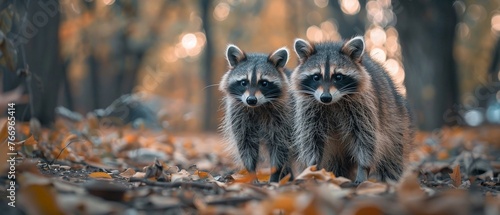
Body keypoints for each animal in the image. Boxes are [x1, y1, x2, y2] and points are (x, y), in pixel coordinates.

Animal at [219, 44, 292, 182]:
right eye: (243, 82)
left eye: (264, 83)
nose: (251, 100)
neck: (257, 107)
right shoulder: (239, 116)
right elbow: (246, 146)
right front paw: (252, 174)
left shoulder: (283, 117)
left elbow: (280, 146)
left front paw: (275, 176)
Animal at [290, 37, 414, 183]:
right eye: (316, 77)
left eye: (338, 77)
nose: (325, 97)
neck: (333, 103)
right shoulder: (310, 109)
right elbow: (312, 139)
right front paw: (312, 168)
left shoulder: (364, 105)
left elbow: (366, 137)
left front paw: (363, 169)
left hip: (395, 121)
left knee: (392, 156)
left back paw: (390, 178)